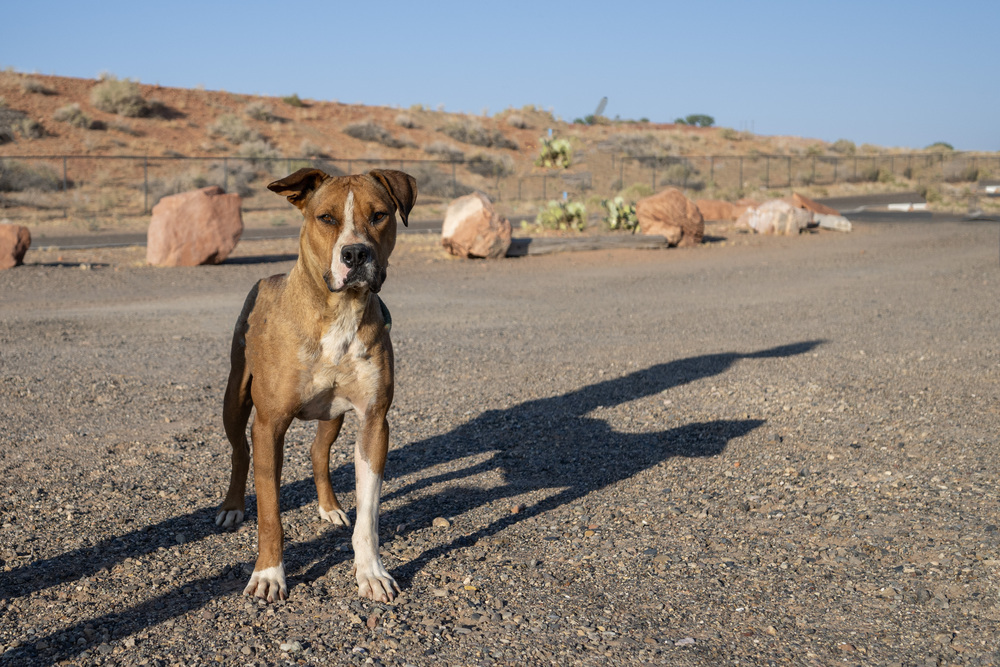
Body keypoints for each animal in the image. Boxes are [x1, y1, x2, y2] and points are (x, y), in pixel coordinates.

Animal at [219, 168, 418, 604]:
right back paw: (232, 506)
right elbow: (270, 514)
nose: (355, 254)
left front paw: (371, 572)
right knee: (240, 451)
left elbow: (369, 517)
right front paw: (268, 575)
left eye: (379, 215)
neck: (338, 313)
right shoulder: (269, 425)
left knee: (318, 451)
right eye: (326, 218)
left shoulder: (374, 421)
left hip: (333, 414)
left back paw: (329, 507)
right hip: (234, 398)